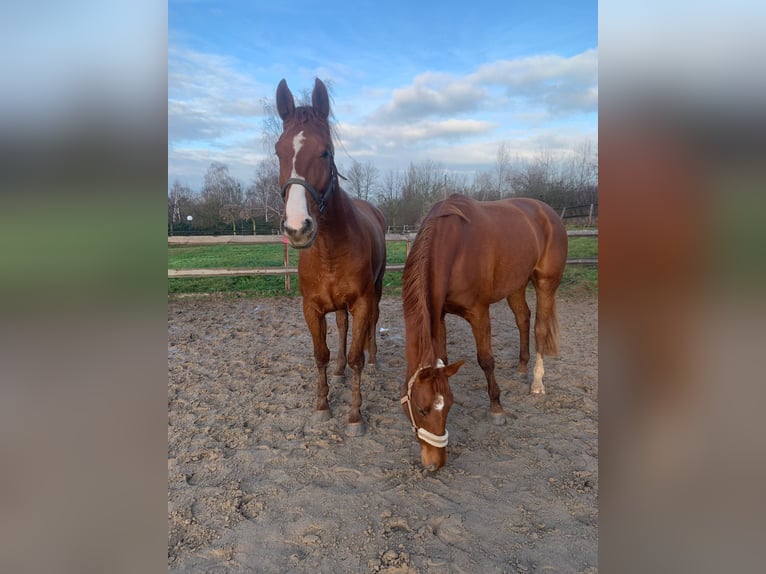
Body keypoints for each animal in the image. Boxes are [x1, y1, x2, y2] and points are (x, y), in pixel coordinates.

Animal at [276, 76, 388, 436]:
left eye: (325, 151)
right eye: (278, 151)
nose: (298, 227)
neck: (329, 250)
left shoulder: (363, 301)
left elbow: (356, 356)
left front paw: (354, 415)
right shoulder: (312, 308)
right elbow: (321, 353)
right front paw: (322, 406)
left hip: (377, 290)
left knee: (370, 326)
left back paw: (374, 358)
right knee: (341, 327)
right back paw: (339, 372)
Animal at [402, 195, 568, 472]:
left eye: (446, 407)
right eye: (422, 410)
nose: (435, 464)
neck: (454, 244)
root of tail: (548, 212)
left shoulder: (479, 313)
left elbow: (486, 360)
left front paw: (497, 409)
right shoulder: (440, 314)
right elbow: (444, 358)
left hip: (546, 282)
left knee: (540, 329)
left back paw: (536, 383)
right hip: (516, 284)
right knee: (523, 319)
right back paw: (521, 367)